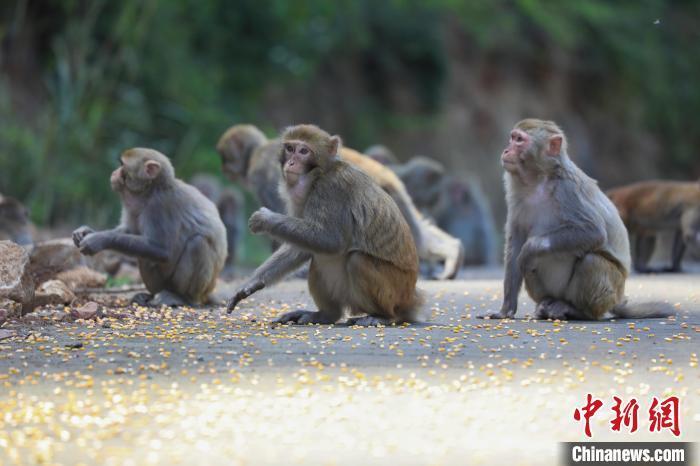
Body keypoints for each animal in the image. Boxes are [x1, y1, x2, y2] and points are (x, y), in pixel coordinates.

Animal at [71, 147, 226, 304]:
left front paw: (97, 240)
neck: (151, 190)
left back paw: (181, 297)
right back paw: (149, 295)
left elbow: (160, 249)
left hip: (199, 289)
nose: (114, 172)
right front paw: (86, 231)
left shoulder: (159, 205)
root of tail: (207, 292)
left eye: (122, 165)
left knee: (197, 244)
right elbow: (130, 231)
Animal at [216, 123, 462, 280]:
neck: (256, 152)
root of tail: (387, 177)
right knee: (418, 236)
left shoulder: (261, 175)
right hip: (394, 201)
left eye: (225, 158)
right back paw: (452, 251)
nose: (224, 169)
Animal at [228, 125, 422, 326]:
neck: (318, 175)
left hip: (396, 291)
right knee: (318, 258)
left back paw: (382, 316)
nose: (291, 163)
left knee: (356, 260)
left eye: (303, 151)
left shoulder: (331, 189)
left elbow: (330, 240)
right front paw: (252, 282)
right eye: (290, 148)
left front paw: (264, 219)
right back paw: (326, 314)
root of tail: (411, 297)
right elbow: (304, 247)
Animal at [482, 118, 672, 320]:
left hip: (610, 291)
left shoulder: (568, 190)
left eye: (519, 140)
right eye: (512, 138)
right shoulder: (515, 194)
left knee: (591, 262)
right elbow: (515, 244)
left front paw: (529, 249)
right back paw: (547, 304)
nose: (506, 150)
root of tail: (618, 299)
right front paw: (505, 310)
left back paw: (576, 310)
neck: (539, 180)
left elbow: (593, 232)